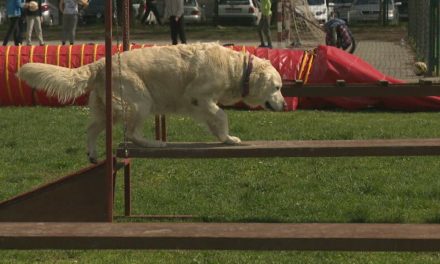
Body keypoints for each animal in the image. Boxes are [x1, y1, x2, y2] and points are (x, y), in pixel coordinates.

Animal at [17, 42, 286, 163]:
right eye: (277, 87)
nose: (284, 105)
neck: (236, 69)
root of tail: (100, 63)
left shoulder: (201, 104)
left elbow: (214, 119)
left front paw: (222, 138)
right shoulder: (198, 97)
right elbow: (221, 115)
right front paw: (230, 138)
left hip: (107, 109)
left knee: (92, 129)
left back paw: (92, 154)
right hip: (140, 102)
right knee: (131, 133)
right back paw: (155, 143)